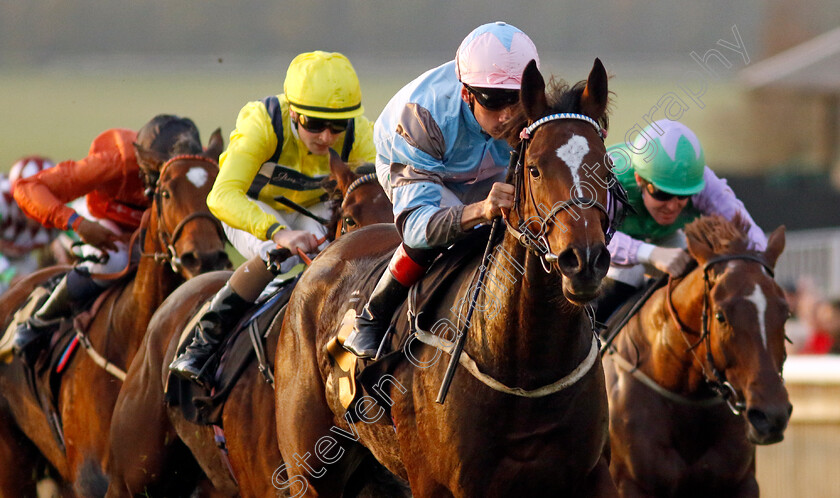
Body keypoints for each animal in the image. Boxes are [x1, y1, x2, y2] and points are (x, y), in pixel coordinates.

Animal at [0, 129, 230, 498]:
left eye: (216, 187)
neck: (132, 338)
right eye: (165, 192)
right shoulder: (93, 480)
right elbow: (36, 185)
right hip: (12, 455)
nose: (205, 258)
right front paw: (93, 232)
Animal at [272, 59, 620, 498]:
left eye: (606, 168)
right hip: (310, 467)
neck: (525, 368)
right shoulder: (438, 483)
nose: (584, 260)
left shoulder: (593, 474)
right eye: (535, 169)